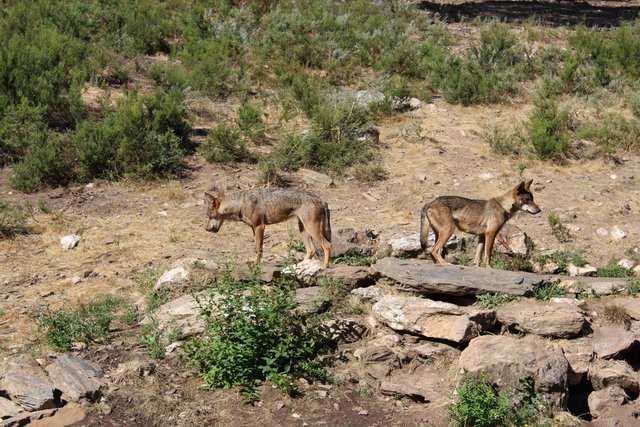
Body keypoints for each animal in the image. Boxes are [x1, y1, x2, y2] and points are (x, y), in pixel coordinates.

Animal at [206, 187, 336, 268]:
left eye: (209, 217)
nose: (206, 229)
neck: (241, 203)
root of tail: (322, 201)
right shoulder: (254, 229)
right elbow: (258, 249)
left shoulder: (260, 227)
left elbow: (258, 249)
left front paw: (256, 264)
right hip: (303, 230)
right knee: (311, 250)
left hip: (311, 229)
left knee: (328, 245)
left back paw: (325, 266)